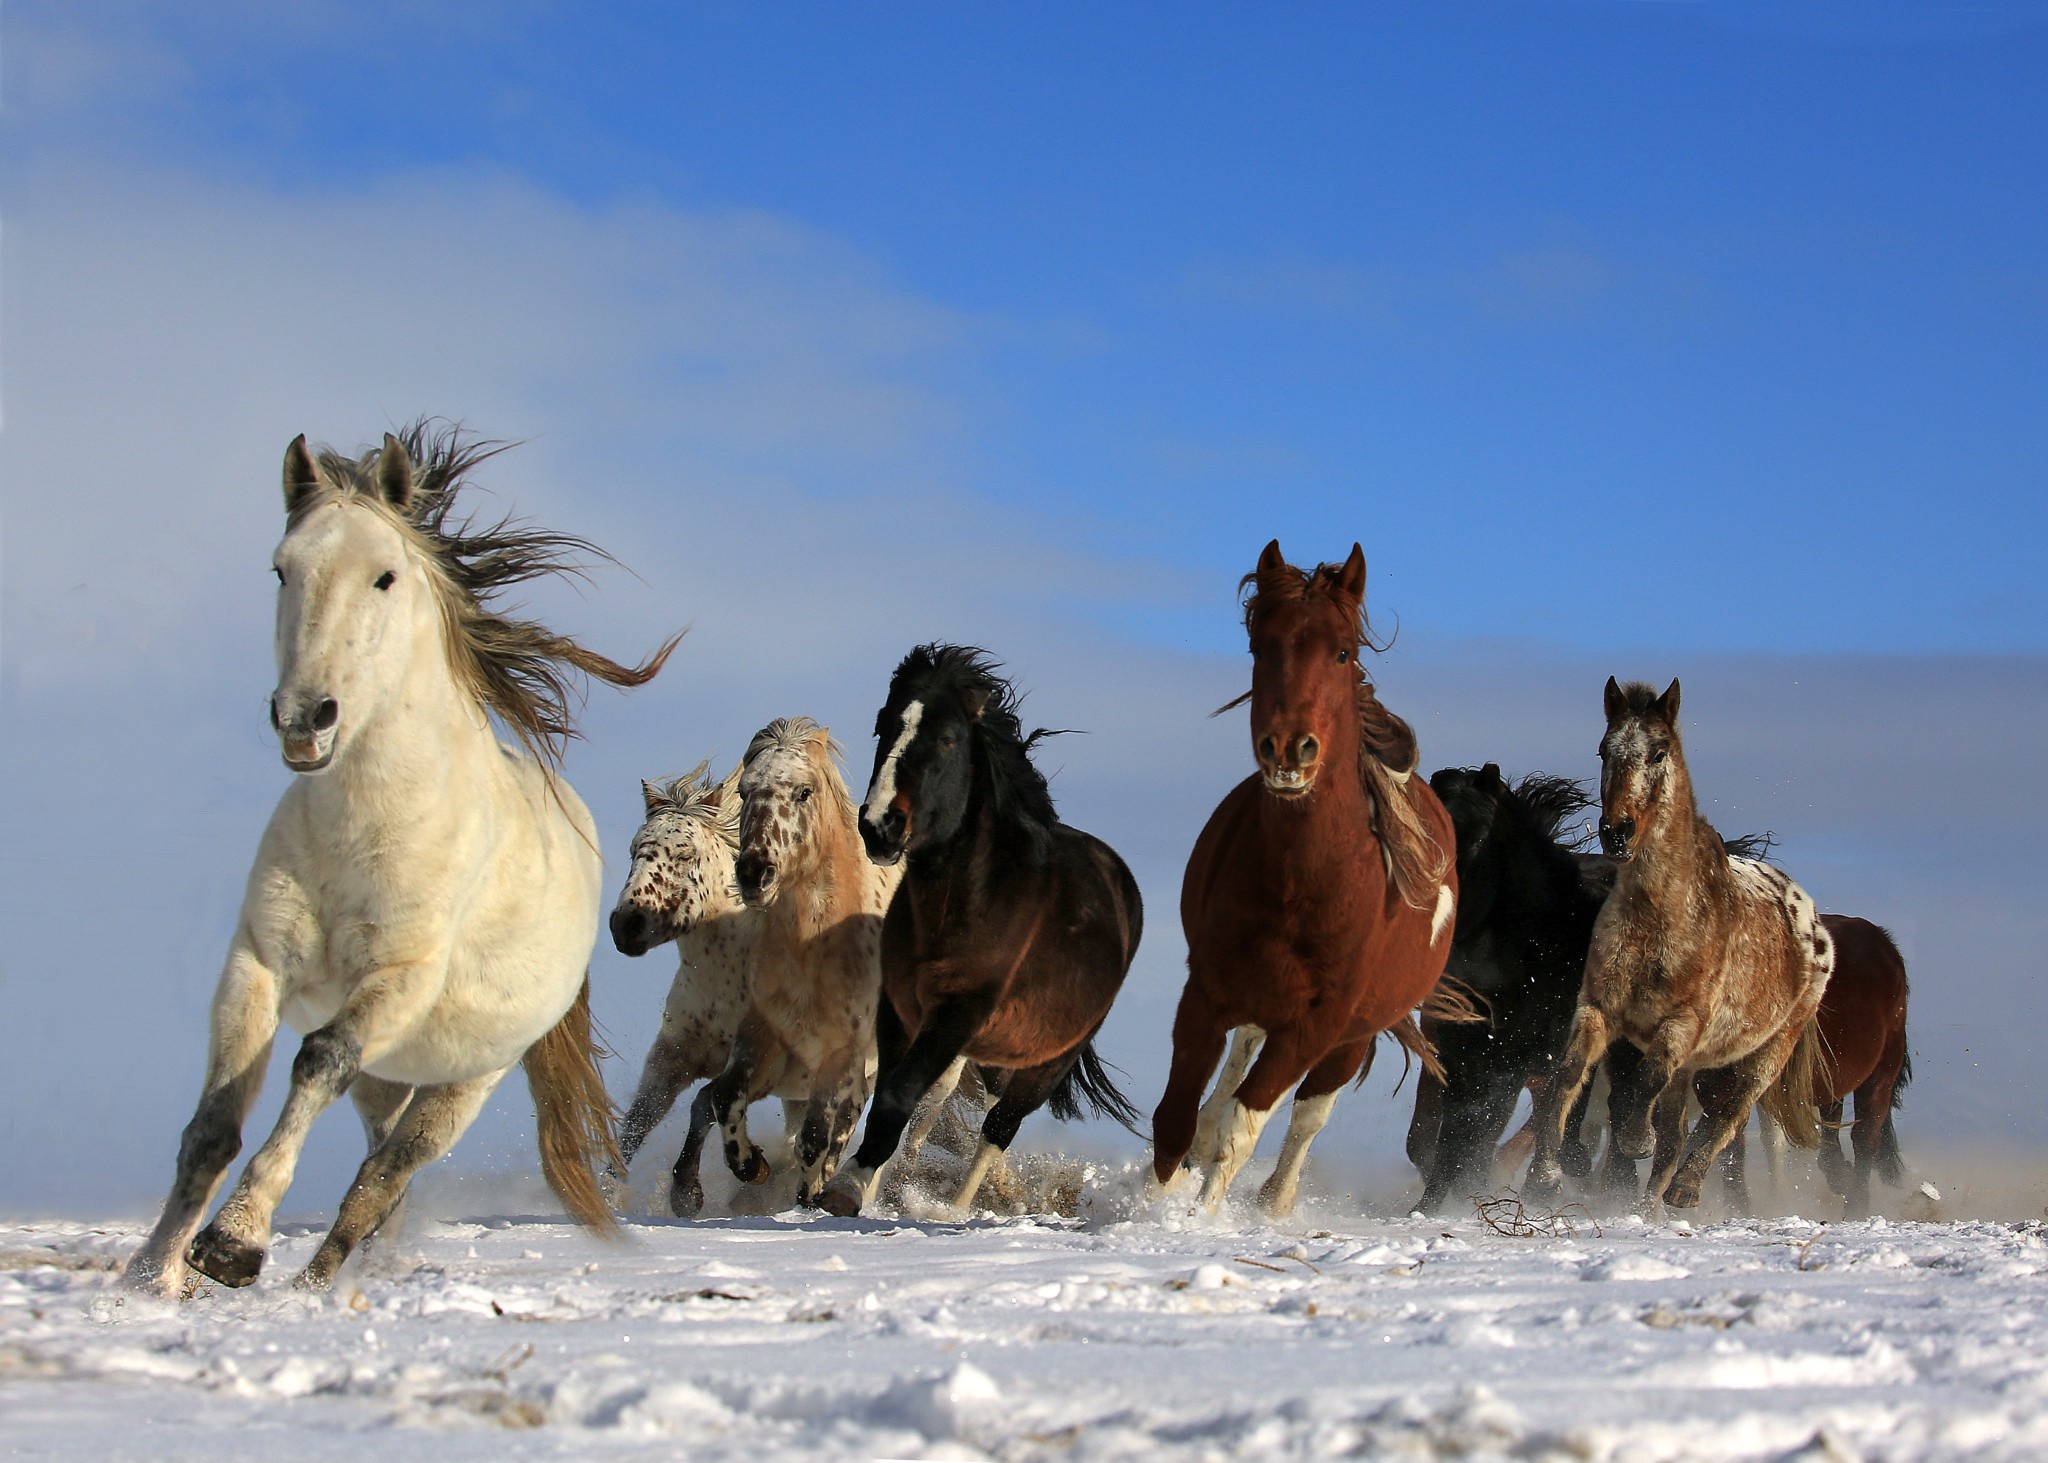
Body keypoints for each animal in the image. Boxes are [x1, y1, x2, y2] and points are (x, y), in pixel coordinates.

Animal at [121, 418, 671, 1286]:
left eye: (384, 576)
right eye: (281, 568)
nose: (305, 717)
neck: (365, 832)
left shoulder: (400, 980)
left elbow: (316, 1059)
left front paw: (233, 1241)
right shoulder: (256, 962)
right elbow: (212, 1123)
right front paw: (147, 1273)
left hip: (465, 1081)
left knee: (383, 1175)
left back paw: (311, 1284)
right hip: (391, 1075)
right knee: (380, 1169)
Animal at [815, 643, 1146, 1213]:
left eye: (948, 739)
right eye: (883, 726)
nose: (879, 826)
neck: (962, 905)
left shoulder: (958, 1012)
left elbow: (898, 1096)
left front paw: (846, 1189)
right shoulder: (900, 1007)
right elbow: (892, 1096)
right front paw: (859, 1188)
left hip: (1047, 1061)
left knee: (999, 1127)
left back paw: (954, 1212)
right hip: (1000, 1046)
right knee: (977, 1105)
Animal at [1155, 540, 1474, 1213]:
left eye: (1343, 651)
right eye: (1259, 648)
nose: (1287, 748)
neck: (1300, 884)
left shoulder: (1317, 1025)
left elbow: (1244, 1129)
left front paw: (1197, 1220)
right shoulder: (1206, 991)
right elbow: (1176, 1117)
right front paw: (1146, 1210)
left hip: (1351, 1036)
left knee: (1304, 1118)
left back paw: (1275, 1203)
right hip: (1257, 1006)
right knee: (1225, 1085)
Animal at [1523, 676, 1843, 1204]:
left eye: (1659, 752)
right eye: (1604, 750)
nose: (1617, 833)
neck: (1659, 920)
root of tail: (1812, 921)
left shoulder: (1681, 1026)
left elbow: (1646, 1084)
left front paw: (1636, 1139)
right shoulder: (1598, 1008)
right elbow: (1568, 1075)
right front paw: (1542, 1177)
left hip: (1767, 1053)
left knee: (1726, 1119)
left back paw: (1685, 1188)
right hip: (1695, 1065)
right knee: (1678, 1136)